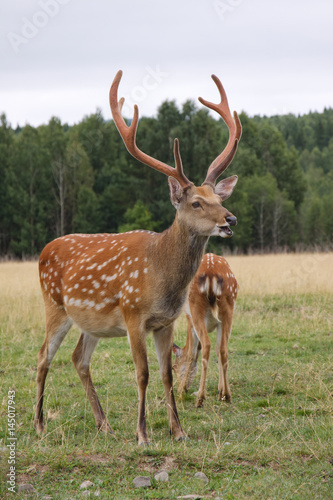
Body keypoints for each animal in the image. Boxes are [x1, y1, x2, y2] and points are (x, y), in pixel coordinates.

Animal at [172, 254, 237, 406]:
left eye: (174, 367)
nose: (177, 388)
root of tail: (211, 273)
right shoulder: (219, 323)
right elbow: (218, 350)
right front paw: (220, 391)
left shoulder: (189, 320)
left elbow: (192, 353)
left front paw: (181, 391)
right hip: (228, 307)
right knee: (223, 349)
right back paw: (227, 395)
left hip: (196, 307)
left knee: (207, 345)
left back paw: (200, 398)